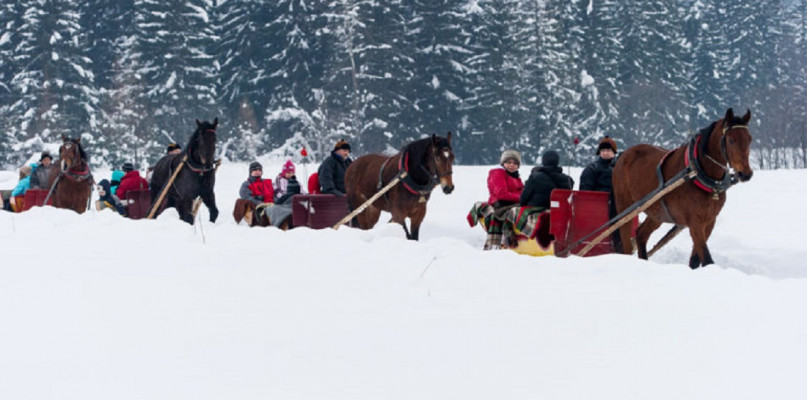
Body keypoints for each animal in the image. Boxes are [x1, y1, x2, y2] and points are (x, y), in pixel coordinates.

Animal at [616, 108, 756, 268]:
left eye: (749, 139)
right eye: (731, 140)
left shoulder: (709, 221)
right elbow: (707, 259)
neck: (698, 173)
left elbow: (695, 260)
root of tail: (623, 154)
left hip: (656, 212)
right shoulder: (695, 222)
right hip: (625, 207)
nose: (746, 174)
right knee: (626, 241)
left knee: (640, 234)